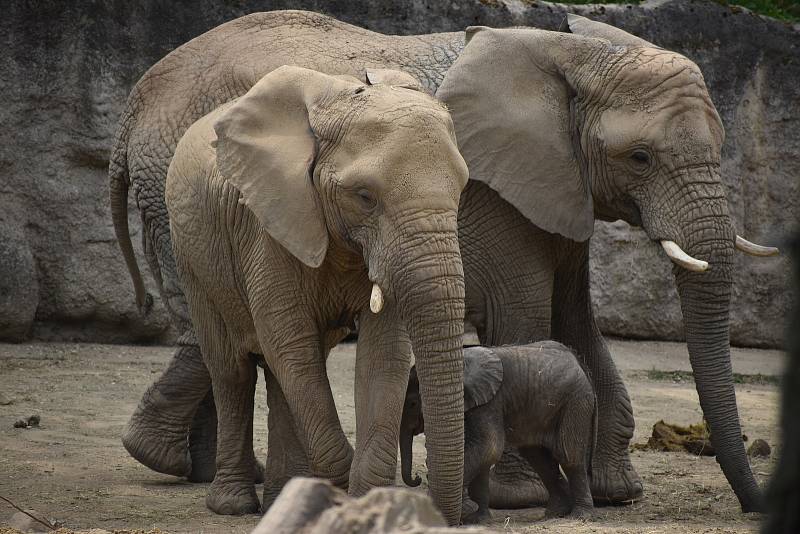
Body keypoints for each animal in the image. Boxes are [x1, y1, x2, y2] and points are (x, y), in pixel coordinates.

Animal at [400, 344, 592, 524]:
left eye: (412, 403)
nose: (417, 478)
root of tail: (578, 362)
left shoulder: (489, 402)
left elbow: (489, 447)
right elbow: (481, 454)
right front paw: (479, 519)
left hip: (576, 401)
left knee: (568, 455)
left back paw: (579, 515)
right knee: (538, 458)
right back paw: (555, 513)